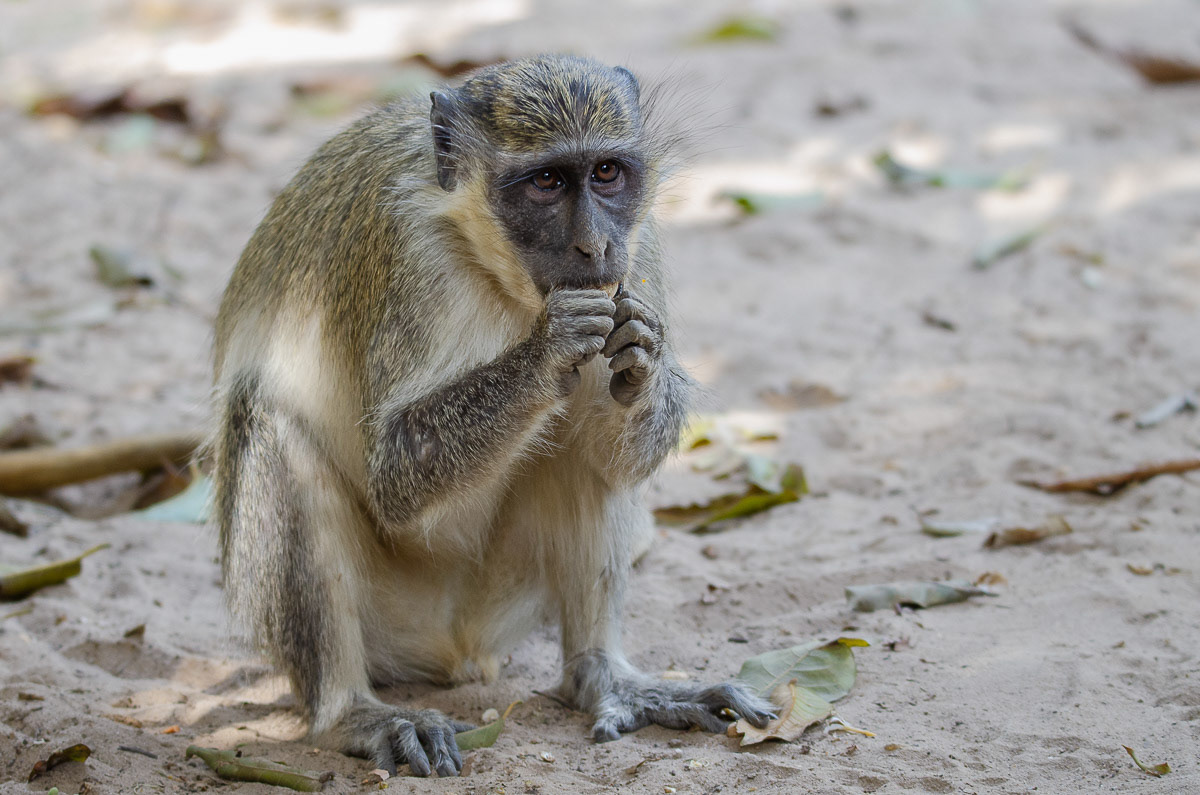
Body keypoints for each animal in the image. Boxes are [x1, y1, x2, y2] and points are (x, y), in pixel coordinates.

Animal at [210, 54, 775, 778]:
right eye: (545, 182)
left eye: (606, 172)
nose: (595, 246)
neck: (481, 251)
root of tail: (458, 649)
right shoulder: (407, 253)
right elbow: (395, 474)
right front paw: (548, 350)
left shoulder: (637, 249)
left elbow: (619, 445)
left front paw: (643, 357)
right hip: (393, 613)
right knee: (270, 425)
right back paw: (351, 713)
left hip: (506, 594)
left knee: (579, 447)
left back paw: (606, 678)